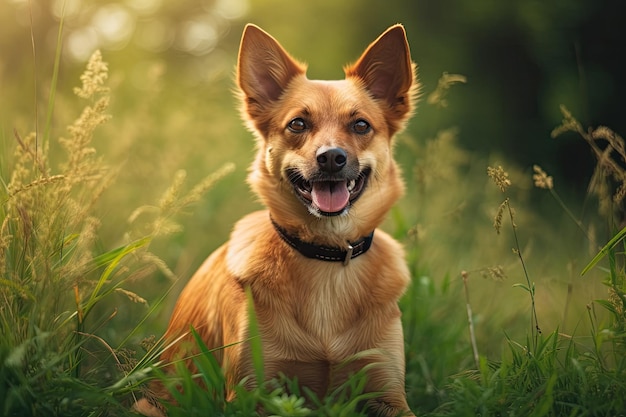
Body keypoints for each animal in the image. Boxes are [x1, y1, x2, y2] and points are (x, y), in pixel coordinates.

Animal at [136, 23, 420, 416]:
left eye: (361, 125)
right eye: (298, 124)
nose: (331, 157)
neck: (326, 257)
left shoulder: (389, 392)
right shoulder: (251, 392)